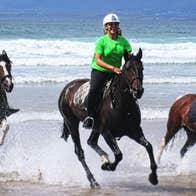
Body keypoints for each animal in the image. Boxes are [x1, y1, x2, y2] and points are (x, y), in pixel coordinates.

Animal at [57, 48, 158, 188]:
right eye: (127, 68)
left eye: (141, 68)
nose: (138, 91)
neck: (122, 104)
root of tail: (67, 88)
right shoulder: (107, 132)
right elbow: (119, 154)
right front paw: (108, 166)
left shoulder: (135, 131)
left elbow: (149, 146)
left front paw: (153, 177)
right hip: (72, 123)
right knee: (80, 152)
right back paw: (93, 181)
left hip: (95, 127)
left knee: (91, 142)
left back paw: (104, 158)